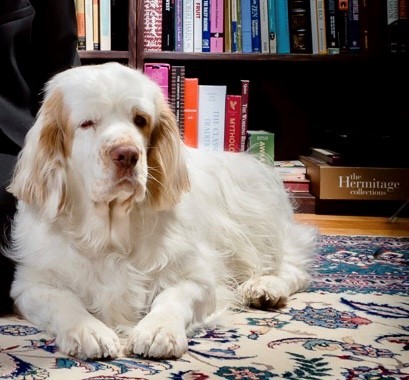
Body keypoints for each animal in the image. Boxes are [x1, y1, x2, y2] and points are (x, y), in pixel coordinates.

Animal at [2, 61, 316, 360]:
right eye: (87, 123)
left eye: (140, 120)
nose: (127, 154)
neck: (111, 234)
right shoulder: (30, 286)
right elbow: (65, 302)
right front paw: (88, 330)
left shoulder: (198, 280)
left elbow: (171, 299)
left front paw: (157, 330)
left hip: (258, 223)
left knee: (291, 267)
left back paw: (266, 288)